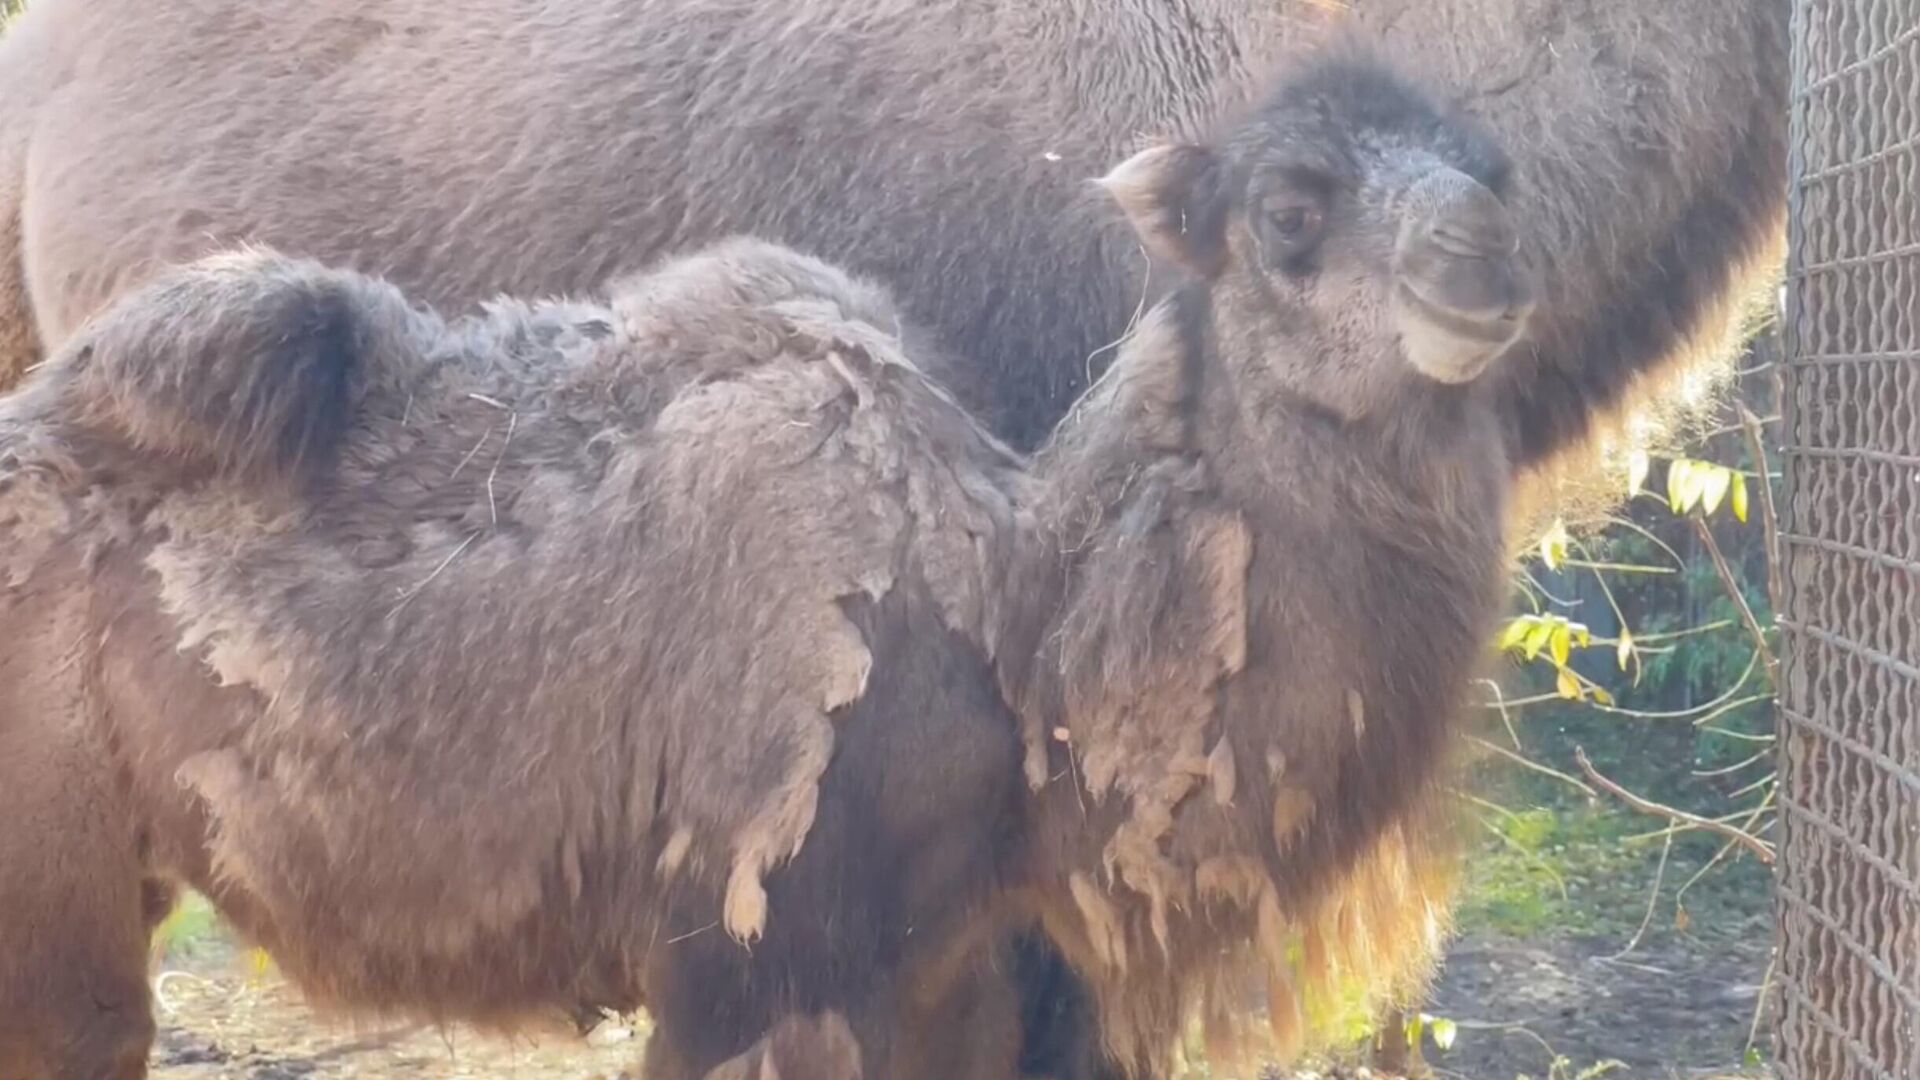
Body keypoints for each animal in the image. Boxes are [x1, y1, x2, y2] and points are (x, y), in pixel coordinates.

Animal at [0, 46, 1528, 1076]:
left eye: (1492, 167)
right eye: (1289, 209)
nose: (1487, 257)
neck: (1014, 642)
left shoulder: (949, 975)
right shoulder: (759, 961)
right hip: (50, 888)